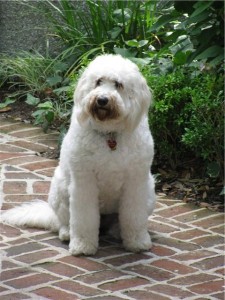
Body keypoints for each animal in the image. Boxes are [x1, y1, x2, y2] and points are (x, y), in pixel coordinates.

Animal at [1, 54, 156, 255]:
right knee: (63, 221)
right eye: (98, 82)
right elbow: (83, 218)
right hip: (60, 189)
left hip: (149, 191)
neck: (109, 135)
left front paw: (137, 242)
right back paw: (67, 233)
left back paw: (117, 231)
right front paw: (83, 245)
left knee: (119, 220)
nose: (102, 100)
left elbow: (134, 216)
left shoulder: (136, 182)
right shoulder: (84, 182)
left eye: (118, 84)